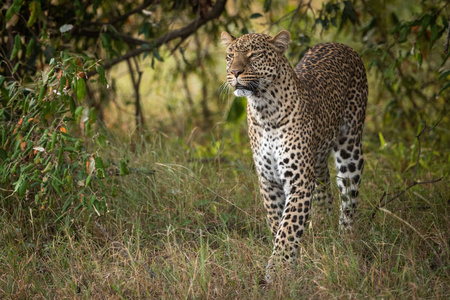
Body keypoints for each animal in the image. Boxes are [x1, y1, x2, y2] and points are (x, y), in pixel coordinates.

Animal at [220, 31, 368, 284]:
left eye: (254, 55)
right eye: (230, 55)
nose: (235, 72)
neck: (264, 110)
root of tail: (341, 45)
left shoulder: (298, 179)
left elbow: (289, 225)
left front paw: (279, 268)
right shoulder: (268, 180)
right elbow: (278, 221)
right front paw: (292, 257)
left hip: (350, 147)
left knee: (349, 198)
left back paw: (346, 239)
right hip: (318, 157)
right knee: (323, 186)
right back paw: (321, 227)